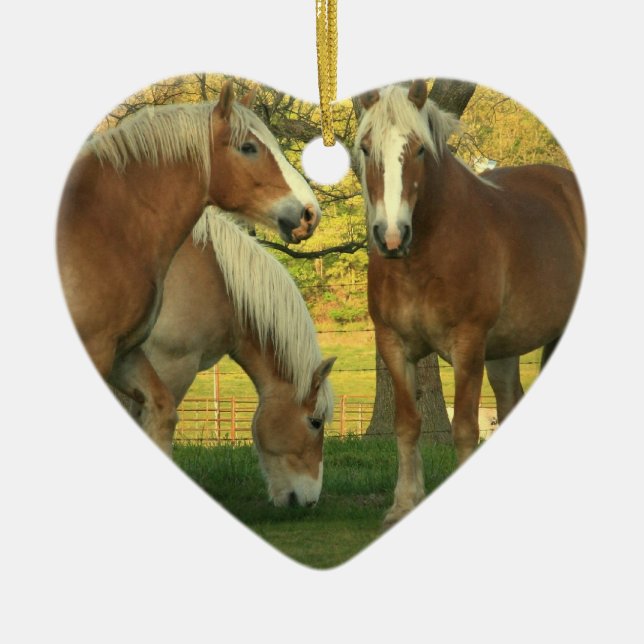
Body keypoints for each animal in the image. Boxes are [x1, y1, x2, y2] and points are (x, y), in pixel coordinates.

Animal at [355, 81, 585, 526]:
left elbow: (463, 427)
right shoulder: (393, 344)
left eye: (419, 150)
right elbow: (407, 425)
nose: (391, 236)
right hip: (503, 350)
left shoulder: (467, 344)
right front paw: (403, 503)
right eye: (366, 147)